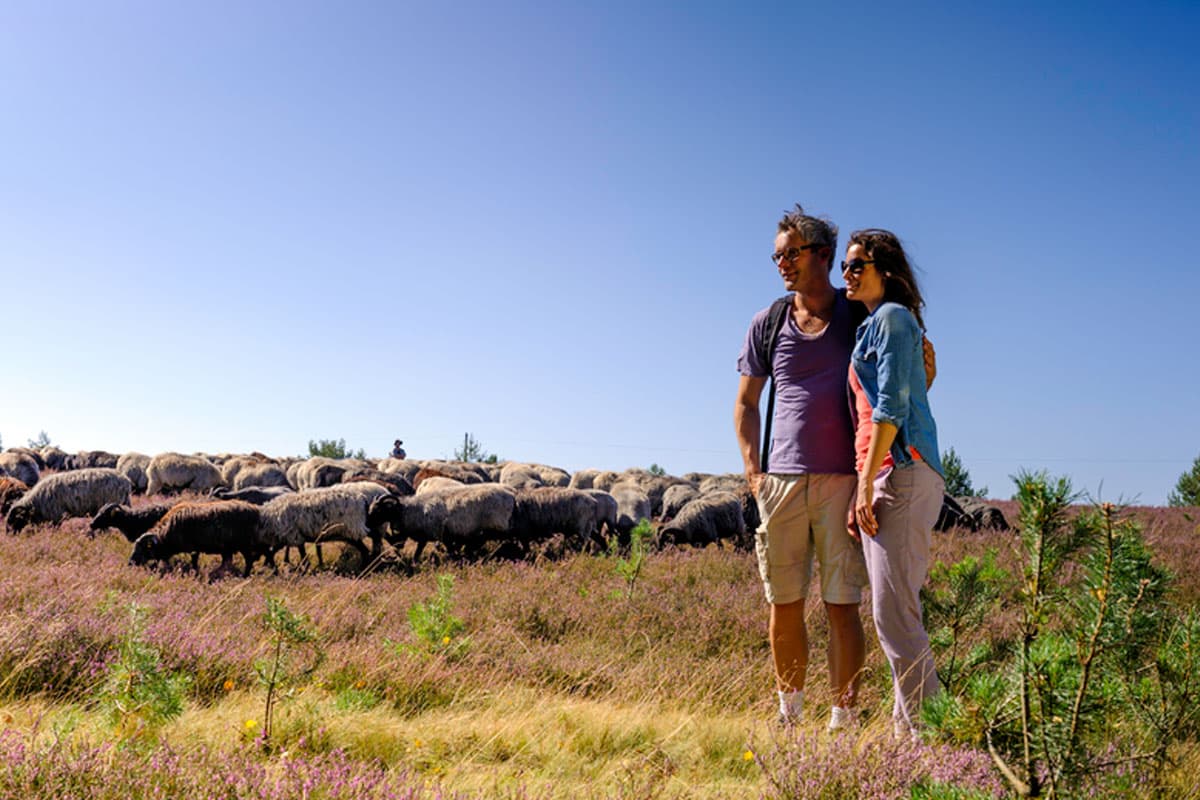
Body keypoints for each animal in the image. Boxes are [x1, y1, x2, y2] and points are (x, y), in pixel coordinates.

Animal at [128, 501, 265, 575]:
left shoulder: (193, 549)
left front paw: (194, 572)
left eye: (142, 549)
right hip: (229, 548)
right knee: (228, 561)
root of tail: (255, 510)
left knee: (249, 560)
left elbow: (194, 562)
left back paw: (244, 575)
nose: (130, 563)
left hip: (244, 545)